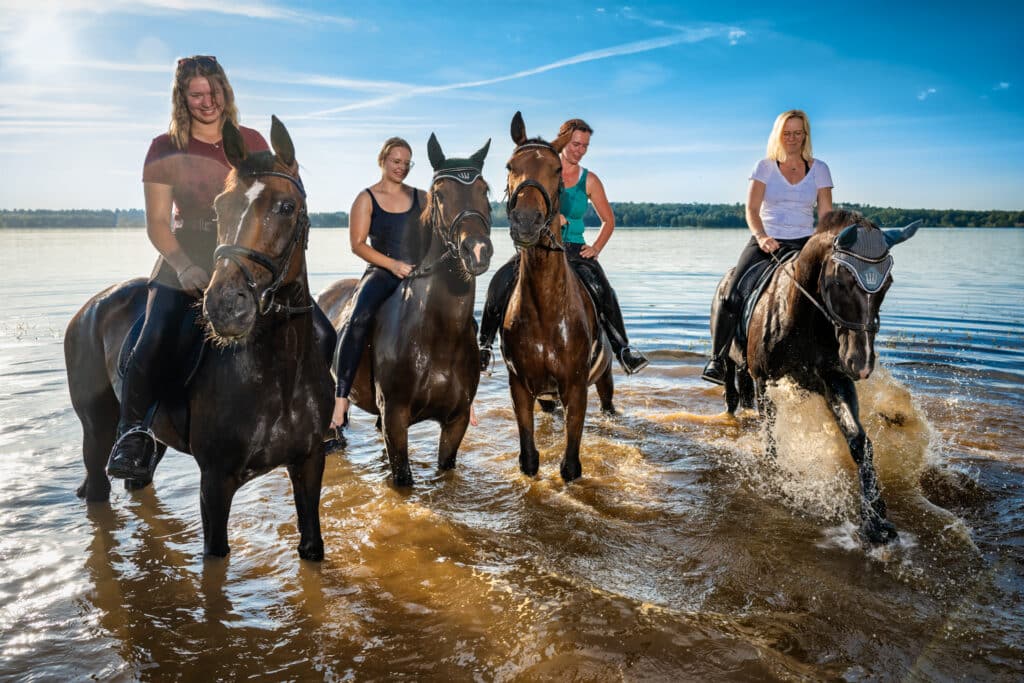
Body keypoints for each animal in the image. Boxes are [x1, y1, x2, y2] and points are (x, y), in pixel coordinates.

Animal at [66, 114, 329, 557]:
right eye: (221, 207)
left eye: (287, 206)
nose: (225, 305)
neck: (280, 373)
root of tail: (91, 307)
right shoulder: (216, 481)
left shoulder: (309, 464)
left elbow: (312, 546)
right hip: (95, 430)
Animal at [321, 132, 493, 485]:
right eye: (439, 194)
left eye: (485, 190)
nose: (478, 251)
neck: (437, 333)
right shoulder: (395, 420)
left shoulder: (456, 422)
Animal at [497, 112, 610, 483]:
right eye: (510, 165)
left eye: (557, 169)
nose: (526, 221)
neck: (546, 309)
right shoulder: (520, 387)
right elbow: (530, 460)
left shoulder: (576, 389)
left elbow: (570, 467)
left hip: (604, 381)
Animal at [712, 208, 921, 544]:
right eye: (839, 281)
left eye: (888, 282)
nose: (861, 363)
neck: (801, 318)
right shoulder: (763, 380)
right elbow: (770, 435)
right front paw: (774, 478)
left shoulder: (835, 380)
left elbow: (858, 441)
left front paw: (876, 521)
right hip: (732, 361)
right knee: (731, 397)